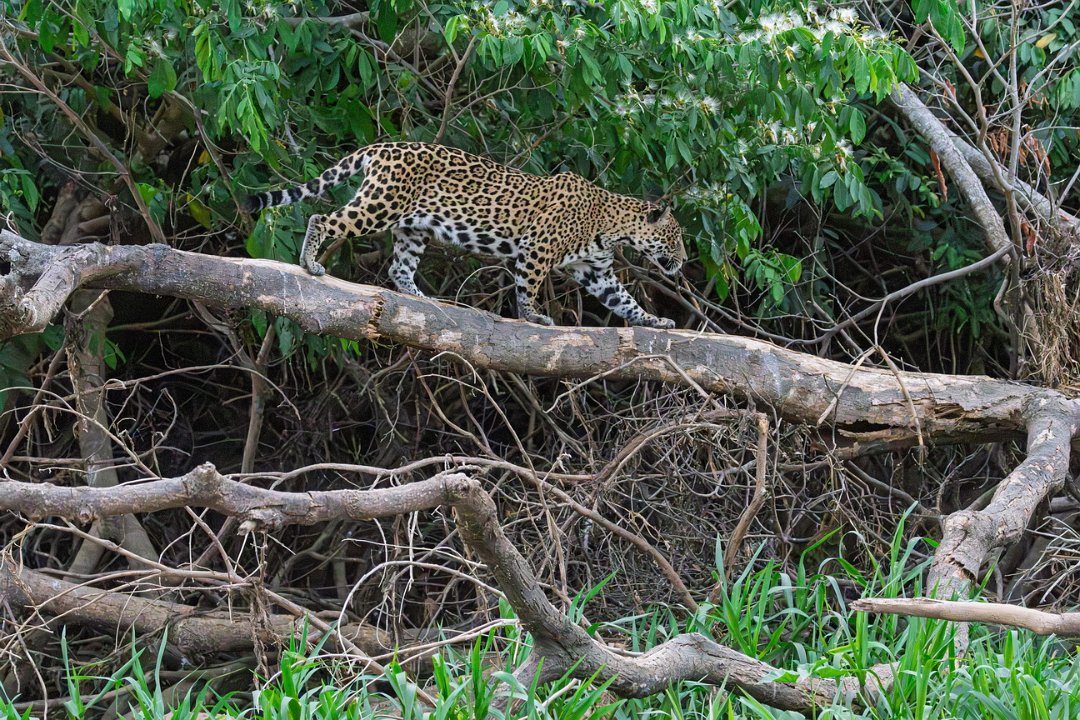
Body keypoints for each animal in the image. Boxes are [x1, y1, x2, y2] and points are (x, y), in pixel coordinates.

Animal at [243, 142, 686, 328]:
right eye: (677, 237)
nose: (683, 262)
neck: (612, 226)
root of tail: (381, 146)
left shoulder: (597, 271)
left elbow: (624, 300)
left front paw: (653, 320)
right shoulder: (537, 249)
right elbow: (527, 287)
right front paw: (533, 316)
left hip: (414, 226)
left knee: (399, 268)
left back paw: (421, 297)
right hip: (380, 205)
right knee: (323, 218)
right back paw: (310, 262)